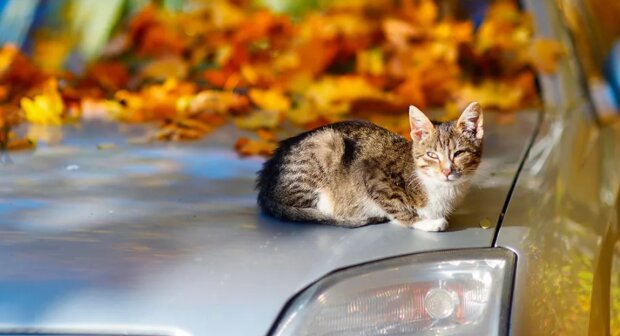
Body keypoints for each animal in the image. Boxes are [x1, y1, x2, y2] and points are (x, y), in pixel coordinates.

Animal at [254, 102, 482, 231]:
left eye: (459, 154)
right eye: (432, 155)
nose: (447, 171)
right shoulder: (370, 172)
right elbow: (394, 204)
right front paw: (425, 222)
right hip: (327, 142)